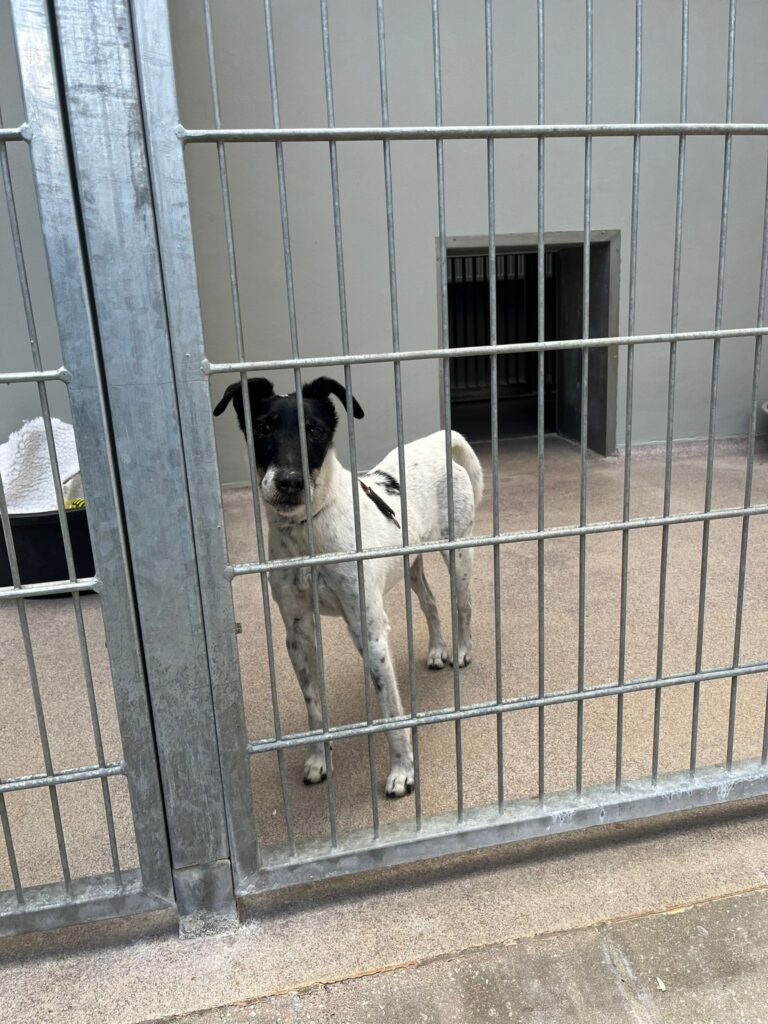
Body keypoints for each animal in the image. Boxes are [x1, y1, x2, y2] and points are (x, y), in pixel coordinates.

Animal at [214, 376, 483, 798]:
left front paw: (402, 772)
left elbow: (391, 712)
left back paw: (460, 650)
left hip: (457, 554)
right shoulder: (298, 634)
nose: (290, 483)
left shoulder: (368, 631)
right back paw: (438, 649)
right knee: (431, 602)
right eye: (263, 428)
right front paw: (318, 760)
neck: (307, 535)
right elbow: (313, 705)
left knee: (462, 605)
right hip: (410, 565)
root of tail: (434, 441)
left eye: (315, 431)